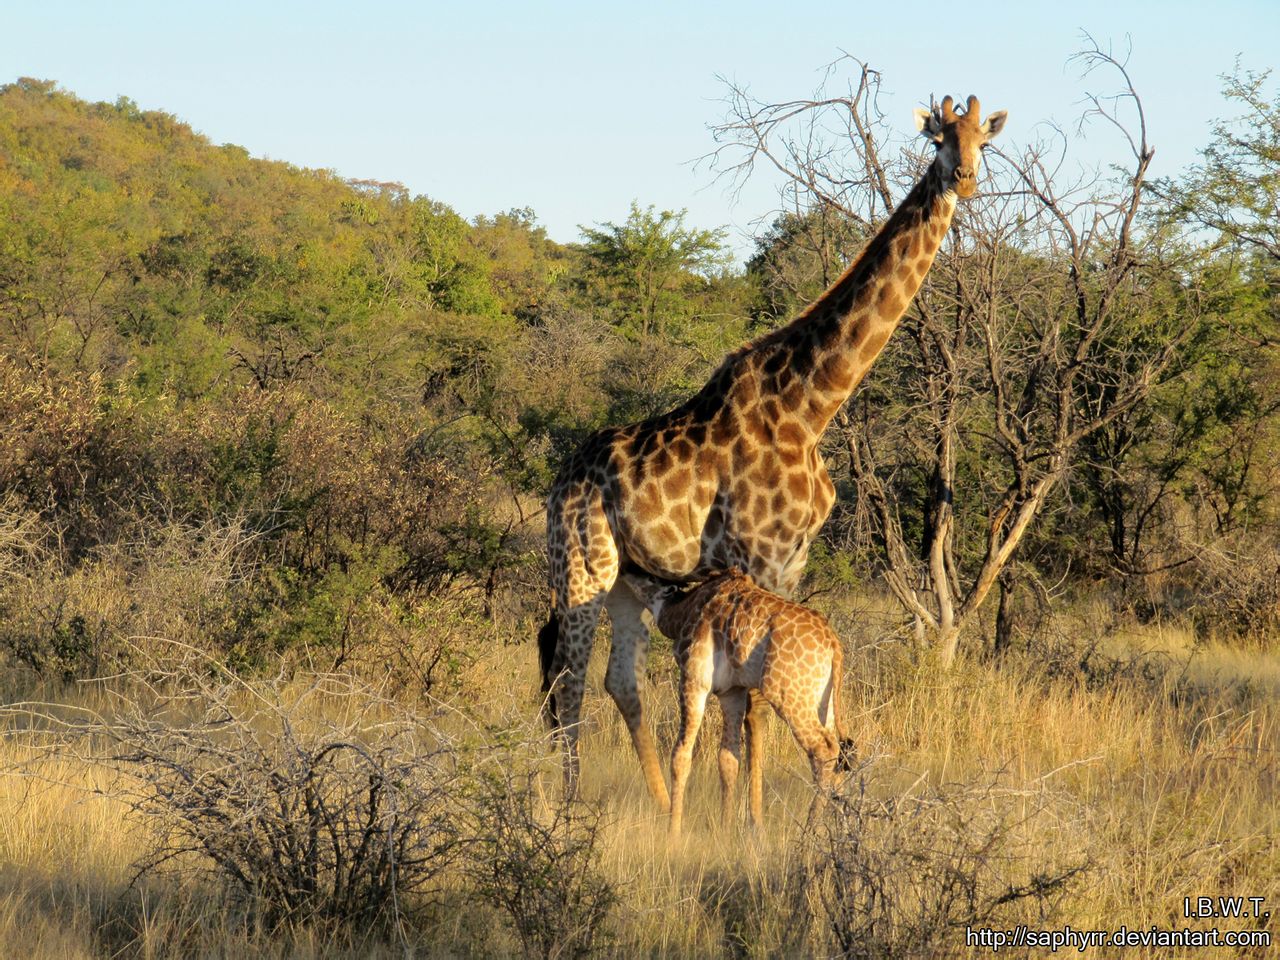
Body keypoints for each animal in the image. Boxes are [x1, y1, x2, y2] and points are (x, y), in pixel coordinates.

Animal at [637, 570, 849, 834]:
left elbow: (681, 755)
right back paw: (844, 829)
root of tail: (833, 644)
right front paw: (725, 830)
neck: (681, 611)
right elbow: (728, 759)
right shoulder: (733, 691)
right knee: (836, 754)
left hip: (787, 694)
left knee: (824, 748)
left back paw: (811, 830)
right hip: (822, 700)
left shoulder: (694, 680)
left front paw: (673, 833)